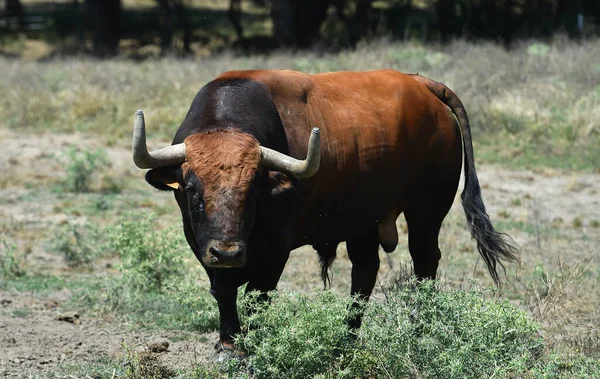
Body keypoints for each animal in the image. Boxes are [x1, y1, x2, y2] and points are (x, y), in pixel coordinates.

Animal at [134, 70, 516, 354]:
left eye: (255, 188)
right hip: (364, 220)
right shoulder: (201, 243)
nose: (227, 252)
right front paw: (228, 346)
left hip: (426, 211)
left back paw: (419, 330)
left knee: (424, 265)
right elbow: (224, 291)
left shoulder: (275, 251)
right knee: (364, 273)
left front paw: (250, 347)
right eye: (192, 189)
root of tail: (421, 84)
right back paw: (346, 340)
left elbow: (258, 298)